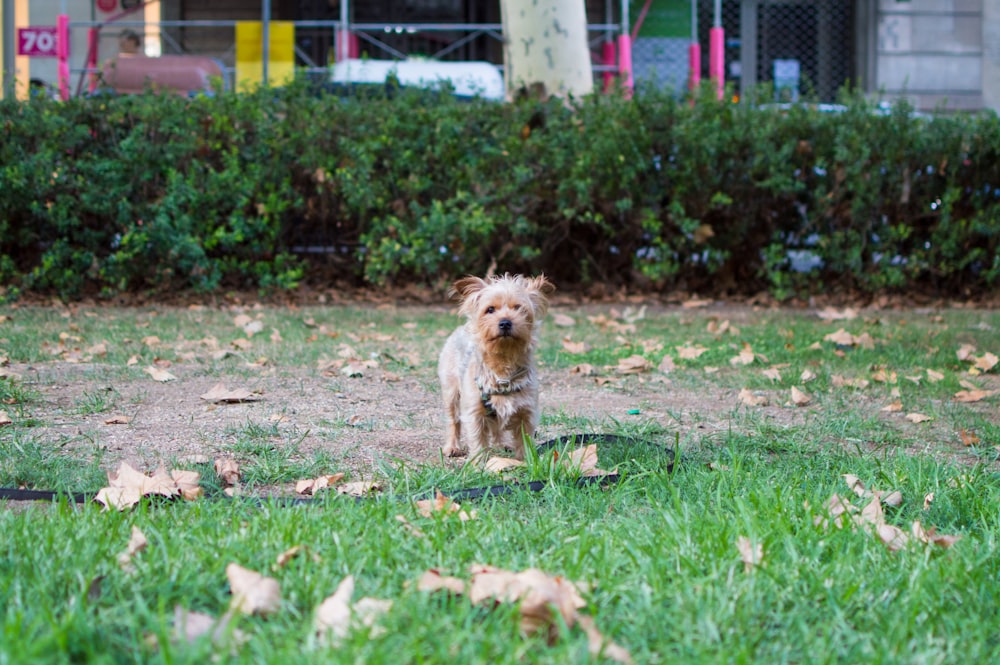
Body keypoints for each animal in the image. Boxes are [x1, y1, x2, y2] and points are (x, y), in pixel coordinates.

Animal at [438, 272, 556, 460]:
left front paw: (527, 462)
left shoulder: (527, 413)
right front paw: (478, 463)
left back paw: (501, 444)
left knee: (496, 428)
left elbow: (524, 441)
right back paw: (452, 447)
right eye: (490, 309)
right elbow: (478, 440)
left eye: (519, 308)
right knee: (453, 421)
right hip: (451, 392)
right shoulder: (475, 412)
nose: (505, 322)